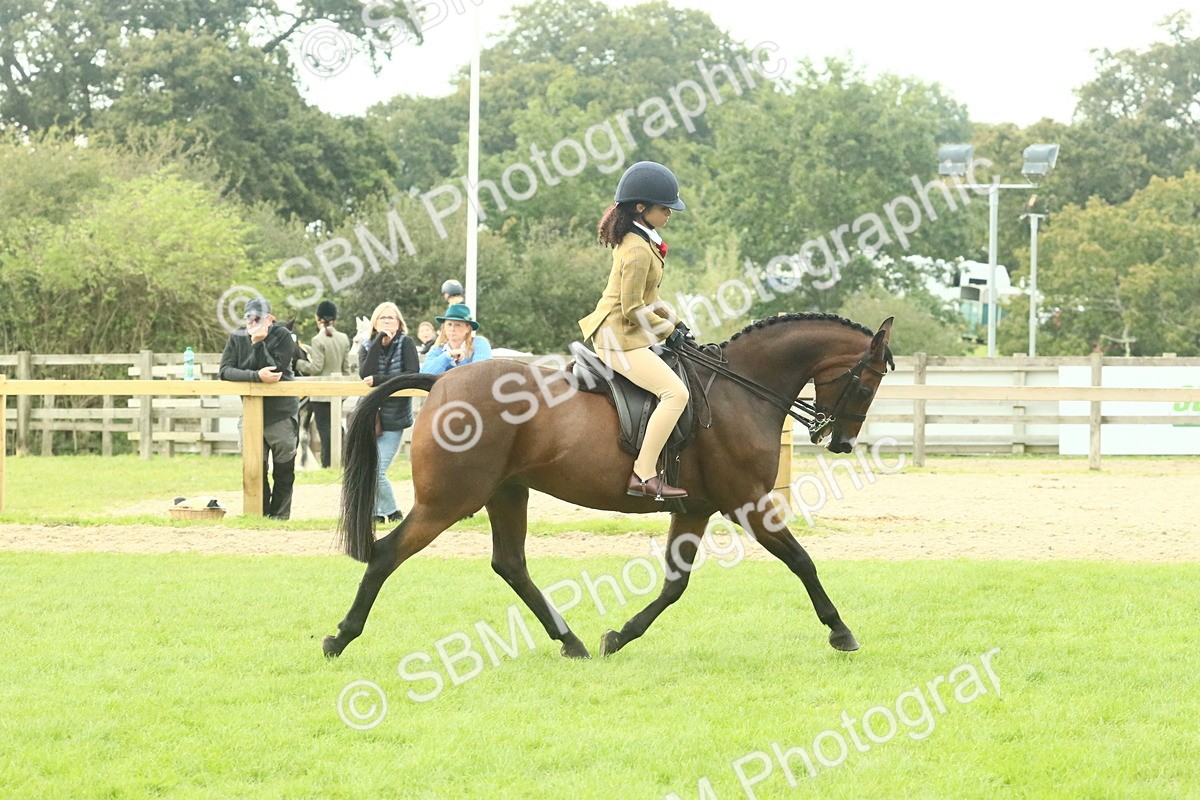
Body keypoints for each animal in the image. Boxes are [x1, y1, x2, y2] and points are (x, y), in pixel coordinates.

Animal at [323, 312, 895, 659]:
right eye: (867, 384)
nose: (841, 442)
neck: (740, 389)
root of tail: (440, 379)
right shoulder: (748, 503)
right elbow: (802, 561)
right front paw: (841, 631)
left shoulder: (695, 510)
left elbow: (674, 585)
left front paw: (619, 635)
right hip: (449, 500)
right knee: (386, 554)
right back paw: (340, 637)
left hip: (507, 493)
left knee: (510, 564)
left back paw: (571, 641)